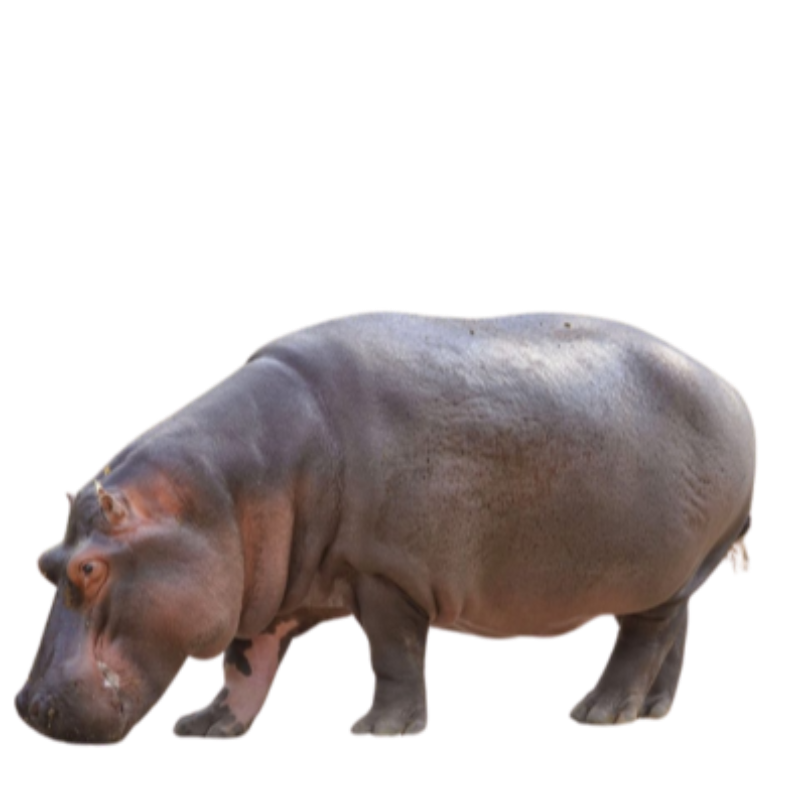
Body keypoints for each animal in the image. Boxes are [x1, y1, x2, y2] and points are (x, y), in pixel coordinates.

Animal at [14, 310, 757, 744]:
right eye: (45, 561)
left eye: (91, 569)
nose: (25, 705)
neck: (218, 495)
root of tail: (729, 388)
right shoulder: (262, 592)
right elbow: (245, 665)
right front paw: (207, 725)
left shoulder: (385, 574)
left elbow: (392, 654)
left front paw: (381, 730)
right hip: (679, 574)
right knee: (673, 636)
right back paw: (651, 710)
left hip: (658, 571)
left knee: (641, 642)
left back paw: (600, 711)